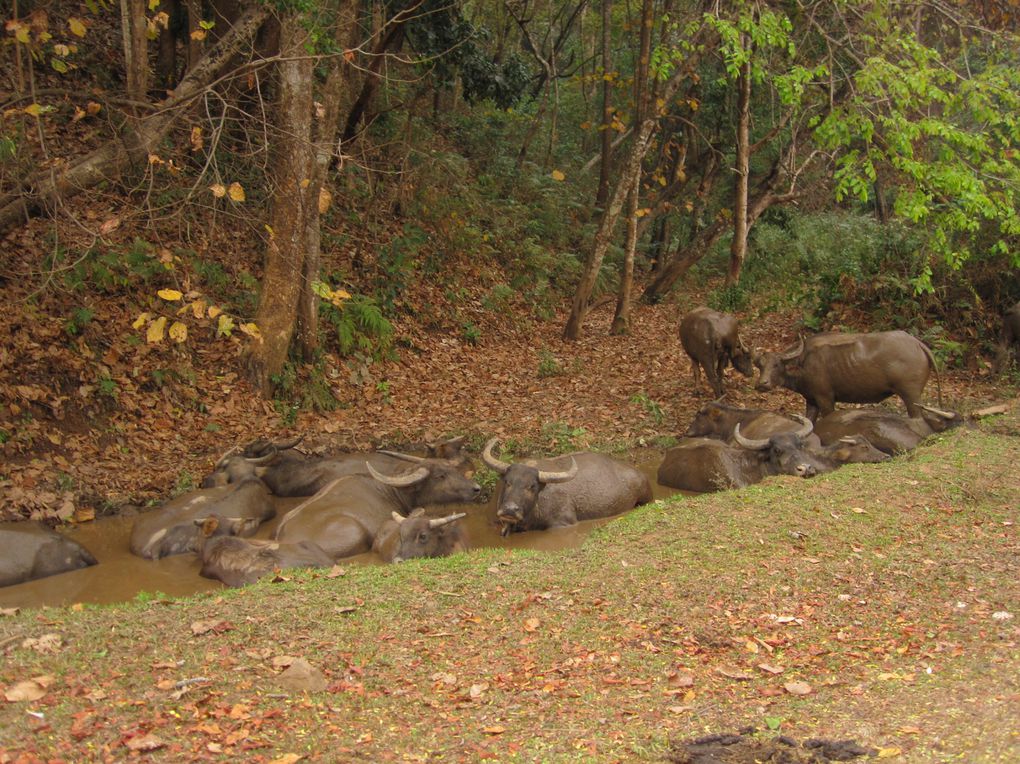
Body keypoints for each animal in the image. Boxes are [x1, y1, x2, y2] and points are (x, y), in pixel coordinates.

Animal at [750, 328, 938, 420]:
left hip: (911, 395)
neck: (803, 362)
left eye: (776, 365)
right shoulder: (811, 401)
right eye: (760, 365)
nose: (762, 384)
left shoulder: (825, 398)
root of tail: (917, 344)